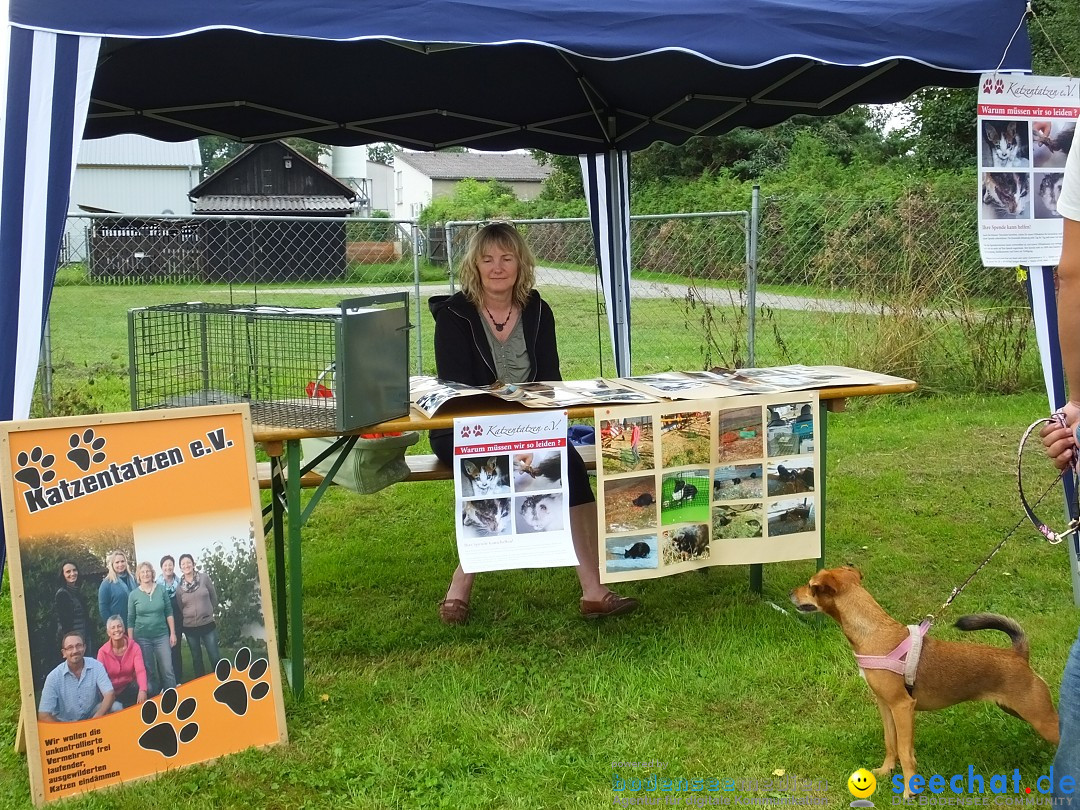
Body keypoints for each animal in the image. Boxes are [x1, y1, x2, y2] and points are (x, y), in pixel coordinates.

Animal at [790, 565, 1058, 799]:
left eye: (812, 586)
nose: (791, 593)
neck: (873, 632)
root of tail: (1019, 655)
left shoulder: (902, 707)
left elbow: (904, 751)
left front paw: (910, 790)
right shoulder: (886, 706)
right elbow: (892, 743)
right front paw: (886, 771)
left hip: (1041, 719)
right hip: (1015, 710)